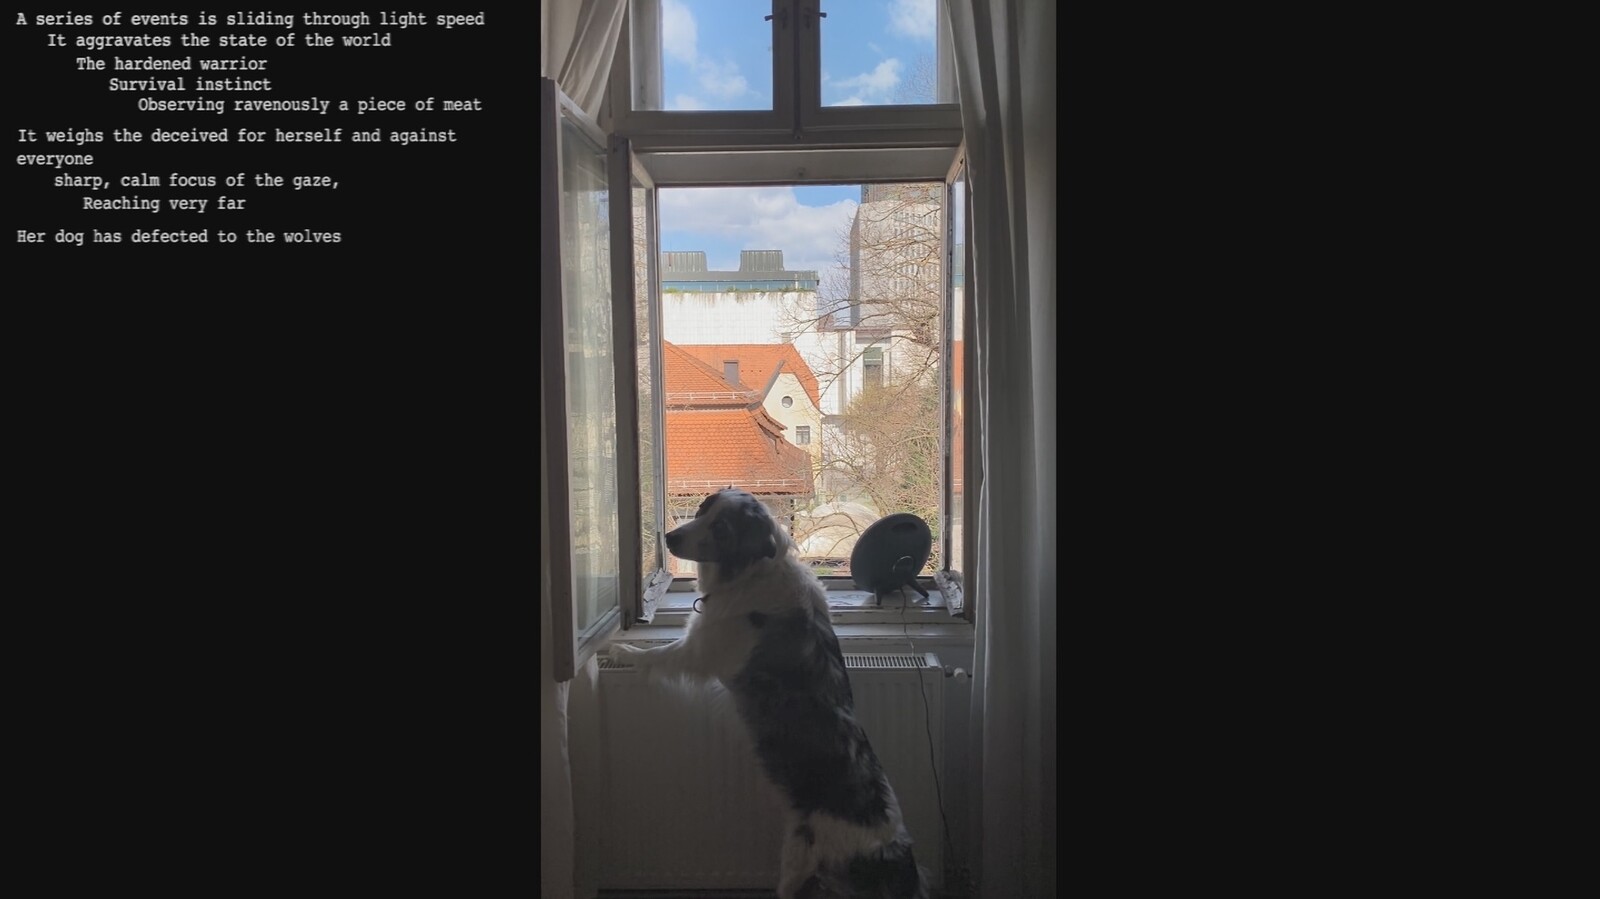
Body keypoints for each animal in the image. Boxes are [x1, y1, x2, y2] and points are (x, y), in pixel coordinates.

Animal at [611, 488, 928, 899]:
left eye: (722, 528)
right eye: (701, 511)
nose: (670, 538)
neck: (752, 572)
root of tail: (894, 853)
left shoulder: (698, 652)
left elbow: (654, 655)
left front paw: (622, 651)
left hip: (797, 860)